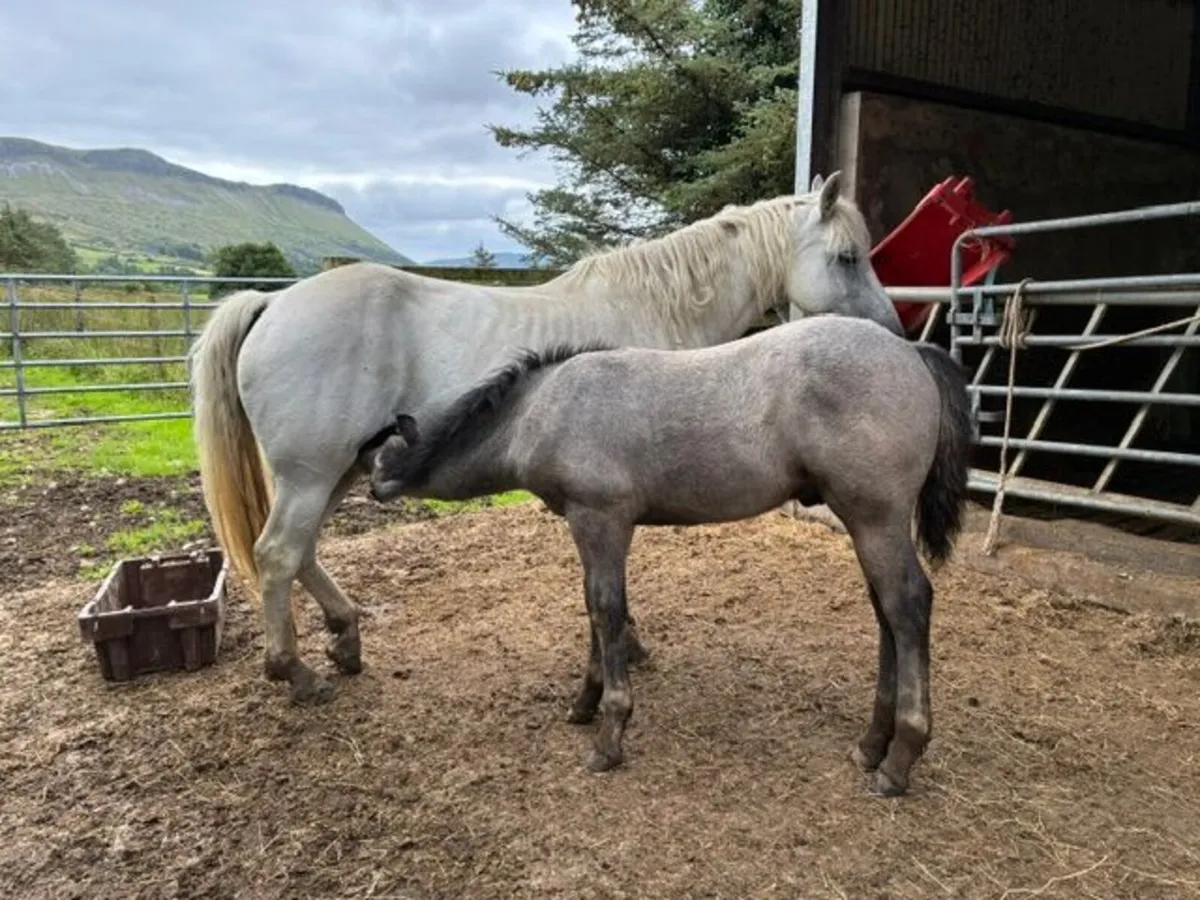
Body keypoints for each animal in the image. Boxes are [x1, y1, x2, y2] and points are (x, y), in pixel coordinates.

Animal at [188, 171, 904, 706]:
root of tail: (273, 302)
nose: (893, 332)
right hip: (312, 474)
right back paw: (297, 673)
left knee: (300, 552)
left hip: (334, 472)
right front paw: (629, 649)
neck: (654, 310)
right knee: (279, 554)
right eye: (847, 258)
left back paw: (344, 638)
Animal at [366, 315, 973, 797]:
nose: (372, 489)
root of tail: (909, 351)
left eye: (385, 454)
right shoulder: (592, 528)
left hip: (876, 518)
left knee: (907, 606)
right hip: (867, 524)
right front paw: (584, 704)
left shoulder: (600, 519)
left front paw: (610, 734)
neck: (543, 409)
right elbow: (595, 612)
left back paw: (899, 758)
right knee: (886, 614)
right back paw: (871, 744)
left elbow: (606, 610)